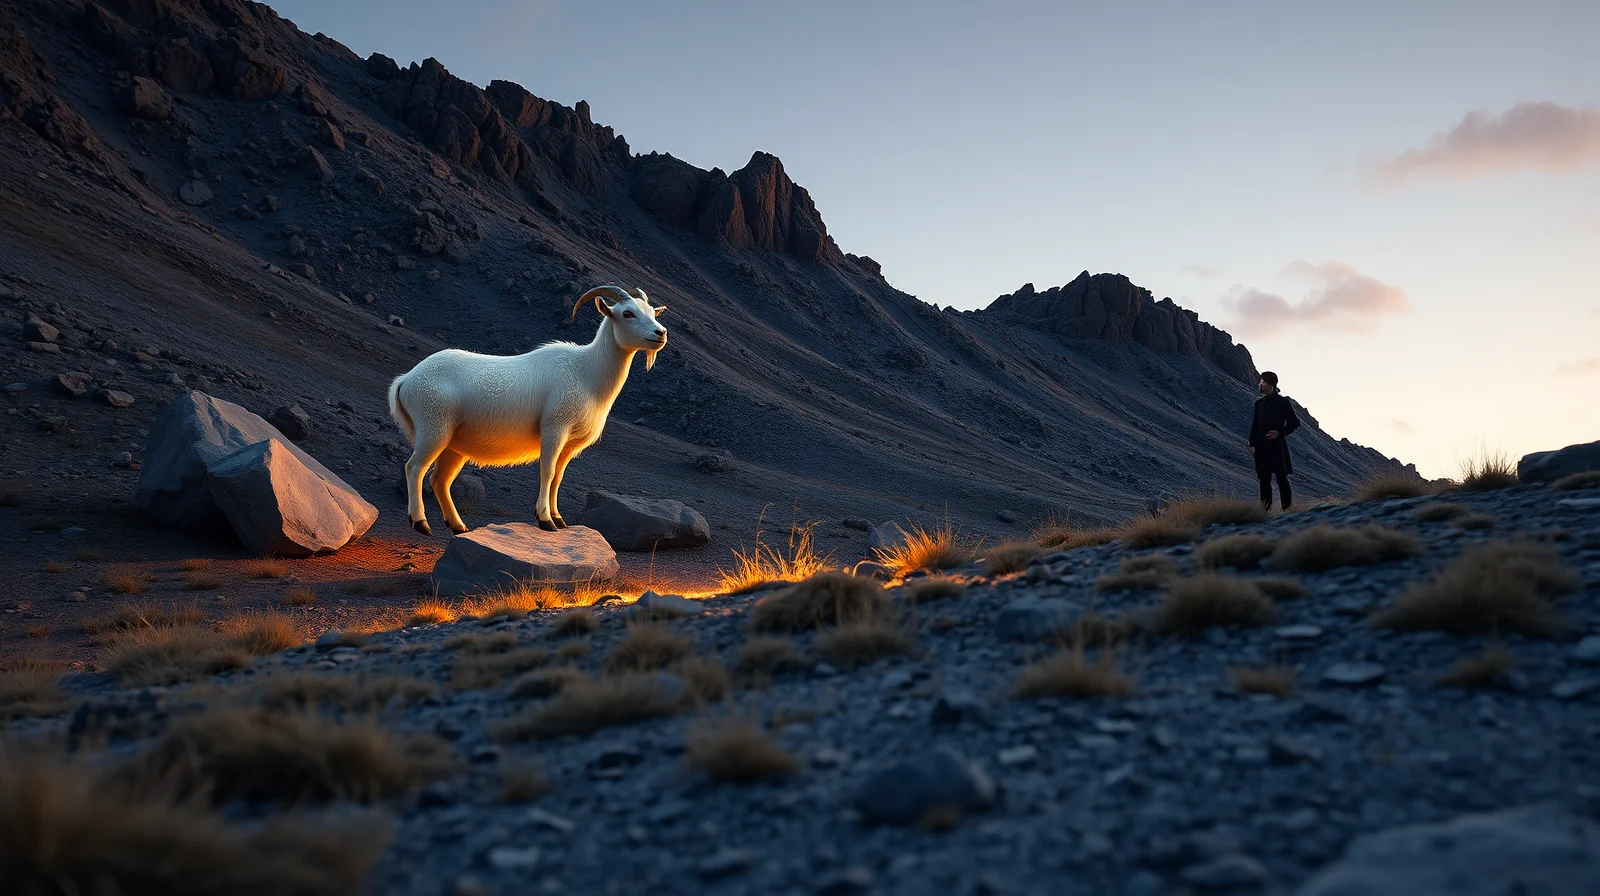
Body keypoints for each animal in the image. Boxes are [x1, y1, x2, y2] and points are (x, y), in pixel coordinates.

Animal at [387, 284, 668, 536]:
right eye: (627, 313)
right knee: (414, 468)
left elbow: (558, 477)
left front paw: (559, 519)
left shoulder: (570, 444)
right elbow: (548, 470)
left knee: (439, 480)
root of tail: (406, 380)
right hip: (433, 429)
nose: (661, 332)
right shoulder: (555, 429)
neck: (586, 372)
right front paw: (545, 520)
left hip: (453, 445)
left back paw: (458, 526)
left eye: (652, 312)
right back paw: (421, 524)